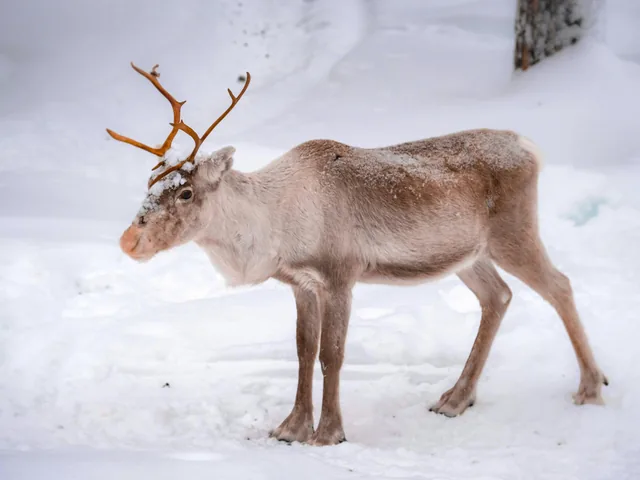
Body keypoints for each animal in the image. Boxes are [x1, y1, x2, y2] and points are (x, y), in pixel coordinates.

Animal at [108, 63, 608, 446]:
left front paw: (329, 433)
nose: (129, 241)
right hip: (470, 255)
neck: (270, 224)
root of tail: (529, 147)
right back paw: (455, 399)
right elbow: (303, 351)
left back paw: (591, 388)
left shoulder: (339, 275)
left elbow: (332, 354)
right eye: (149, 184)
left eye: (186, 192)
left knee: (559, 285)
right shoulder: (300, 283)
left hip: (513, 233)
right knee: (498, 297)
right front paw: (290, 428)